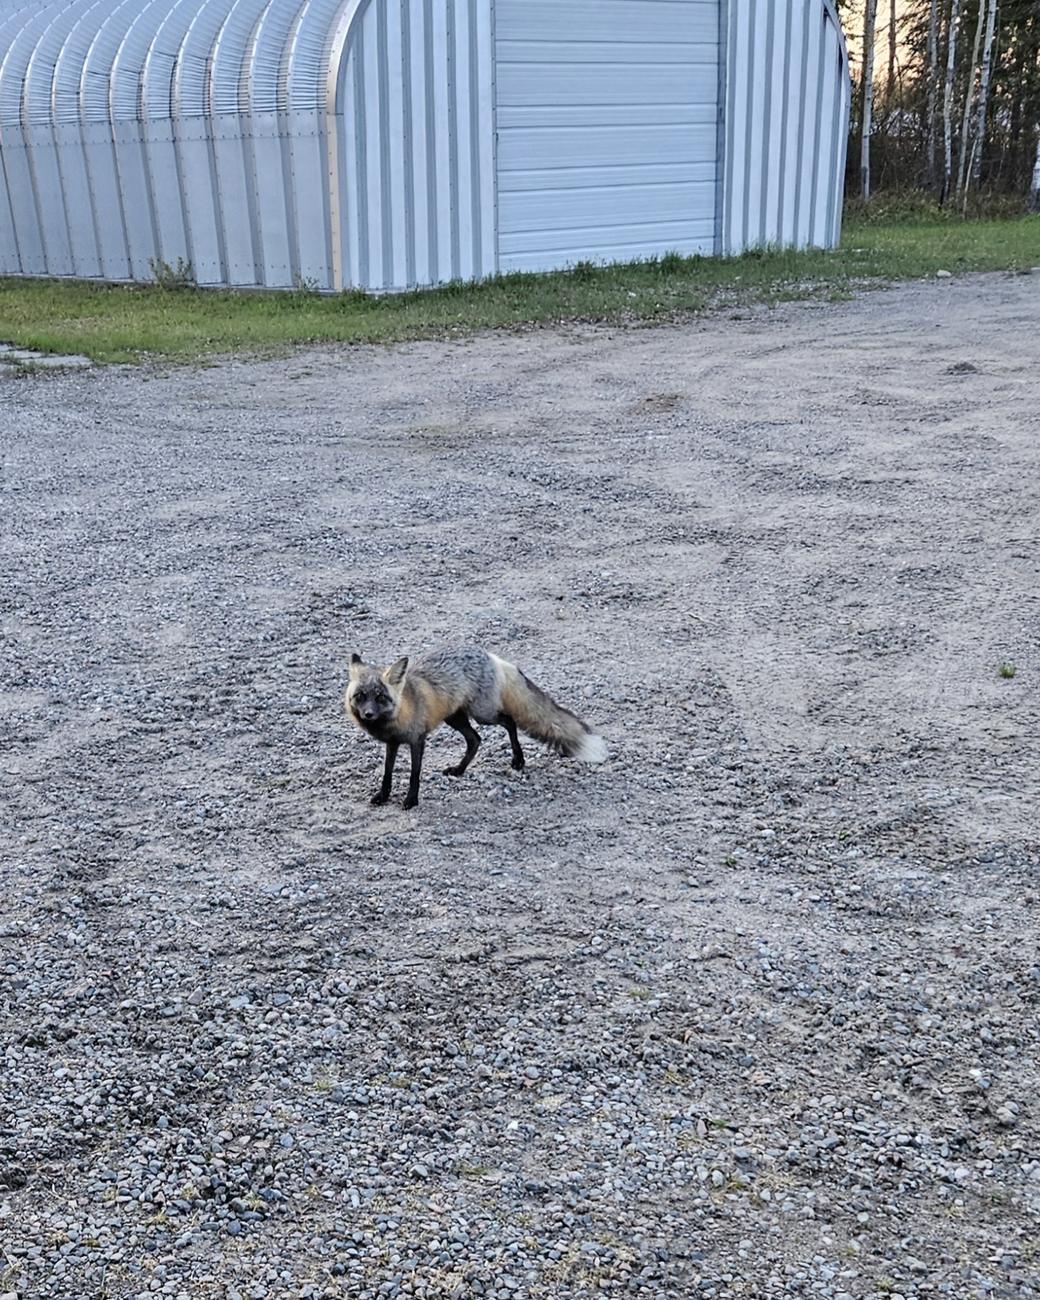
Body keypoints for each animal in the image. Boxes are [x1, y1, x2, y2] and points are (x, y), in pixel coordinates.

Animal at [345, 644, 607, 809]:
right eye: (361, 696)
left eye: (380, 697)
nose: (368, 714)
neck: (399, 714)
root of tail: (491, 656)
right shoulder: (392, 743)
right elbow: (387, 773)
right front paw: (383, 796)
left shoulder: (417, 740)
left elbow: (414, 774)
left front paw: (411, 800)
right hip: (456, 718)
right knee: (475, 740)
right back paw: (460, 770)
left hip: (483, 714)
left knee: (509, 722)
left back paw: (518, 759)